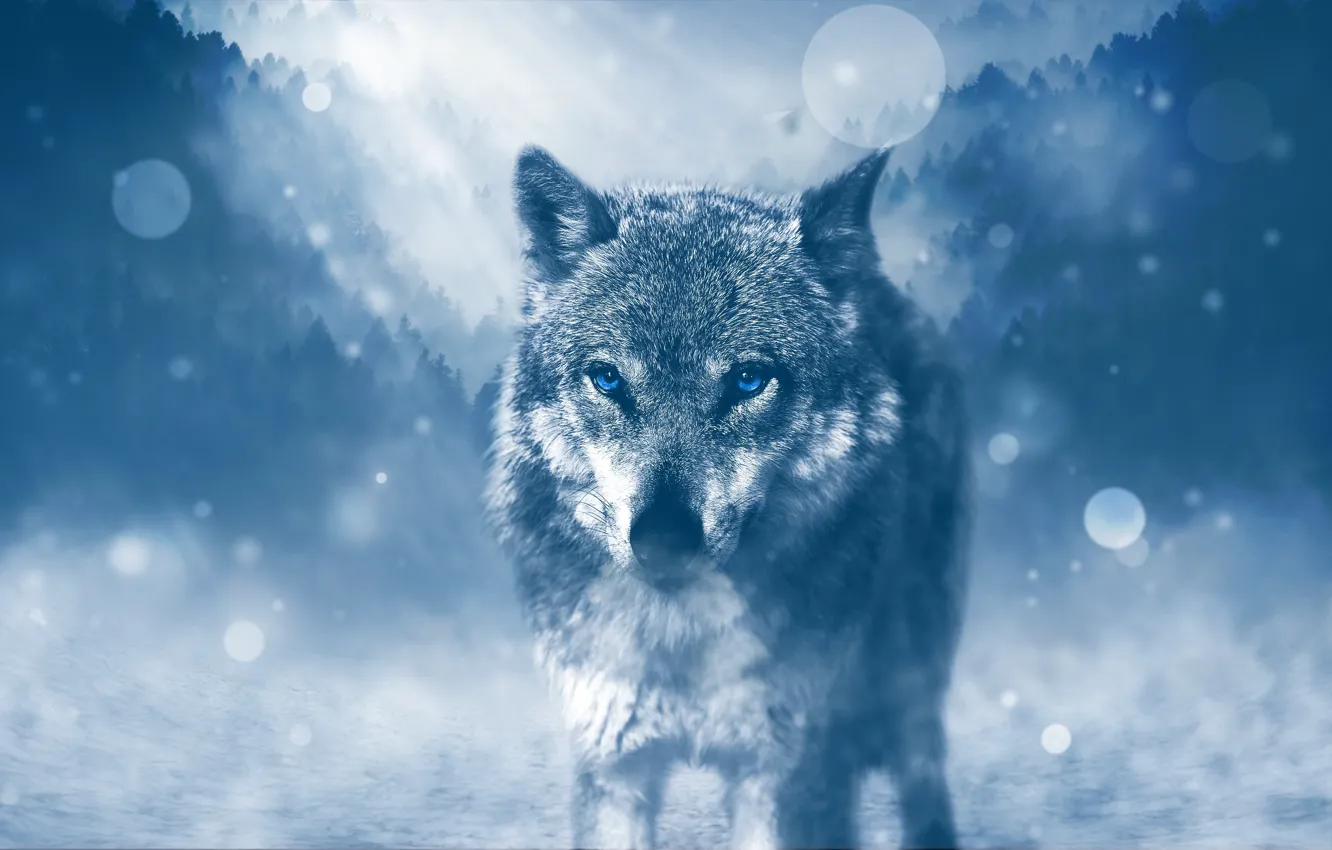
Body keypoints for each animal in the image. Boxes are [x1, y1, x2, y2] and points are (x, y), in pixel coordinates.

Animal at [484, 144, 971, 850]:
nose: (663, 539)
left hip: (909, 672)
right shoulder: (613, 762)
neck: (682, 640)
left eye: (748, 380)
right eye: (608, 379)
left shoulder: (784, 771)